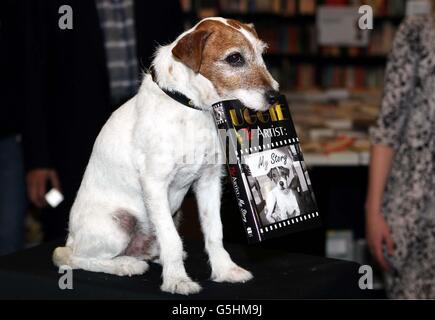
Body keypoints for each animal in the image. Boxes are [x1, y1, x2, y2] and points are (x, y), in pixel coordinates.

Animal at [52, 17, 280, 296]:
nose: (275, 96)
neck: (193, 109)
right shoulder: (155, 185)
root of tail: (71, 238)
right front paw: (177, 280)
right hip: (118, 223)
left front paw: (225, 270)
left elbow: (214, 231)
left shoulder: (209, 181)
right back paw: (125, 264)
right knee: (75, 258)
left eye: (262, 53)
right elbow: (171, 239)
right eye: (235, 58)